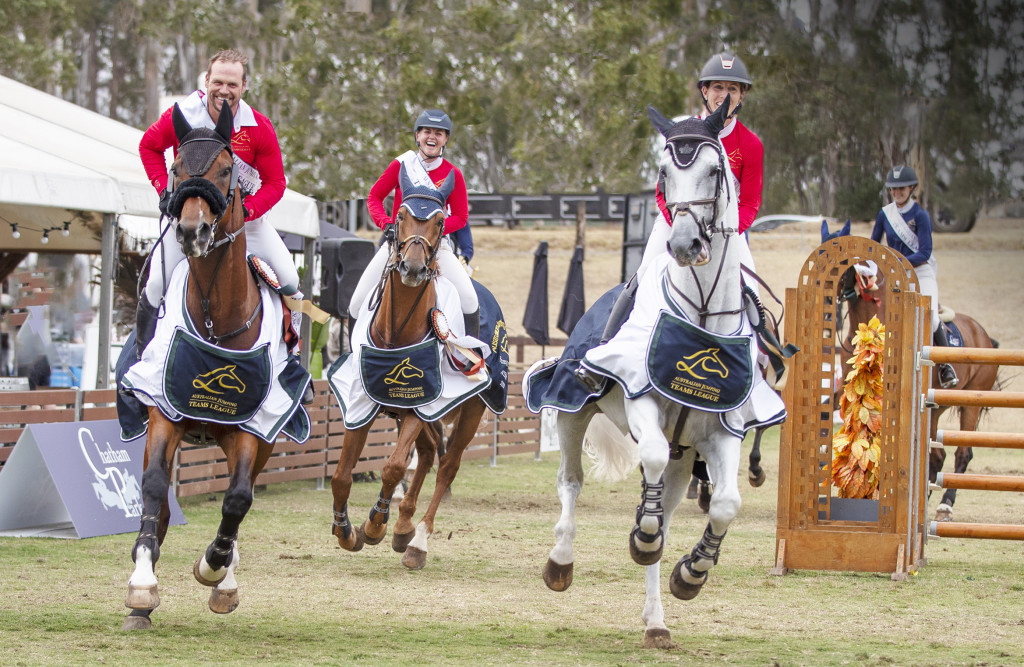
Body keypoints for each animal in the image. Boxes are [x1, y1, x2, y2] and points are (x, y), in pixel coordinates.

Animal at [121, 104, 301, 631]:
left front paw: (215, 568)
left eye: (225, 170)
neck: (215, 317)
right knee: (159, 500)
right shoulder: (164, 413)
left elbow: (238, 499)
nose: (191, 231)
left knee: (242, 496)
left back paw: (225, 575)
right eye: (178, 168)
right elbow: (154, 487)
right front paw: (142, 584)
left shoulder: (253, 428)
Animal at [325, 167, 489, 569]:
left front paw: (374, 525)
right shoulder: (362, 403)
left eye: (441, 220)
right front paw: (346, 531)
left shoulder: (419, 404)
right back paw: (402, 528)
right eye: (399, 216)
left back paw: (417, 542)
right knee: (429, 453)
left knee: (446, 466)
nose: (412, 268)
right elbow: (341, 475)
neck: (397, 331)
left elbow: (394, 466)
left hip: (468, 410)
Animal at [528, 100, 782, 647]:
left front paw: (692, 573)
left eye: (715, 170)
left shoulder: (723, 430)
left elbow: (725, 503)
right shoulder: (641, 397)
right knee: (571, 482)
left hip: (687, 458)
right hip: (571, 409)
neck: (702, 318)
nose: (685, 244)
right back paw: (561, 562)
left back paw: (656, 621)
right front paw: (642, 540)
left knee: (665, 502)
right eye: (664, 173)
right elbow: (649, 457)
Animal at [823, 221, 999, 524]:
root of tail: (983, 334)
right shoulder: (849, 392)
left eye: (843, 265)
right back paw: (921, 506)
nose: (828, 307)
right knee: (936, 456)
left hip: (971, 402)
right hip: (935, 408)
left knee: (963, 453)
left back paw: (945, 505)